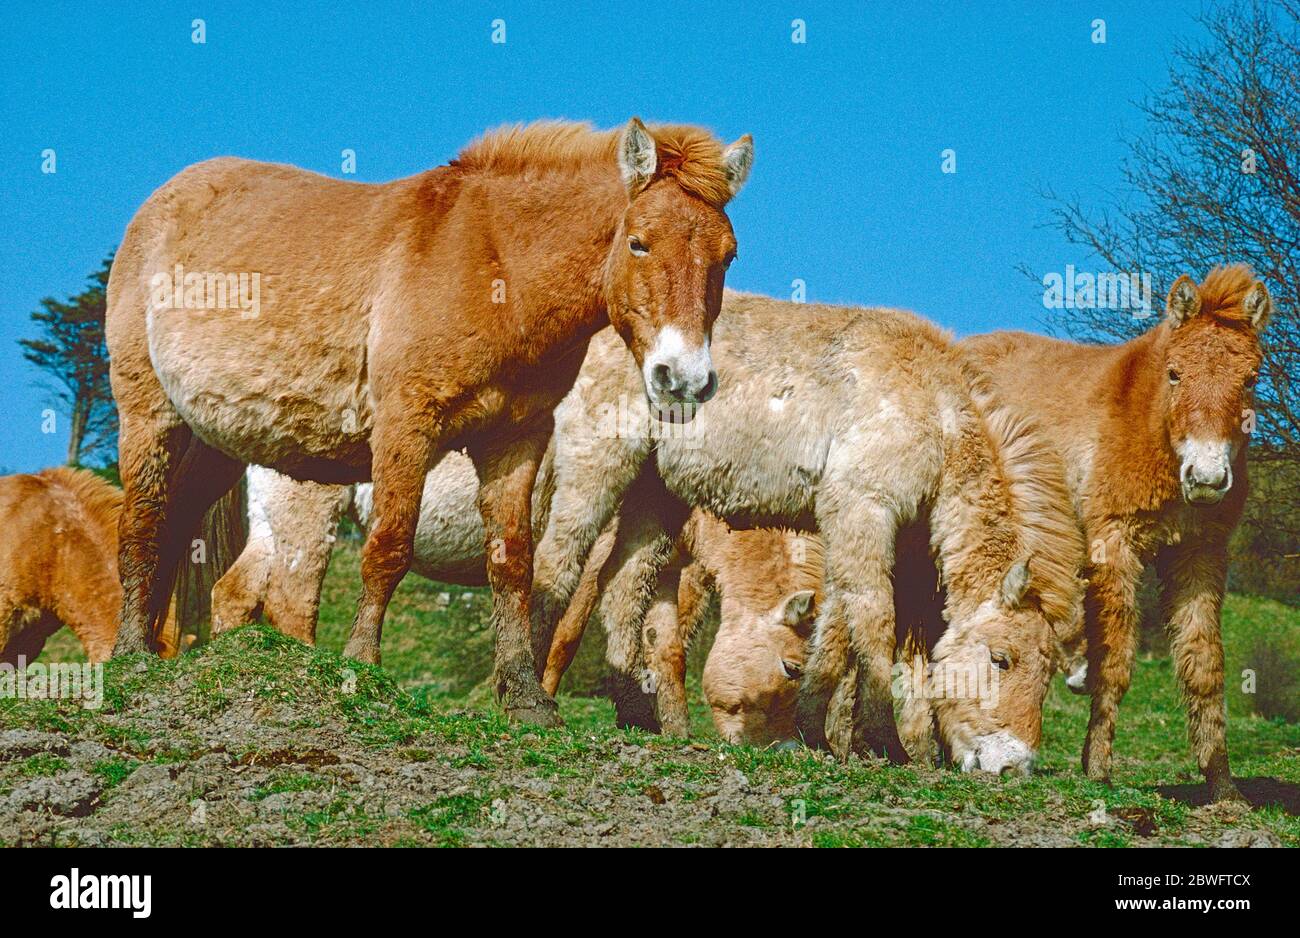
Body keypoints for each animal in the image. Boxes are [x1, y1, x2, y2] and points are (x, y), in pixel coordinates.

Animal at [106, 118, 759, 722]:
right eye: (640, 244)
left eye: (727, 256)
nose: (685, 378)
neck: (497, 261)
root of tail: (160, 203)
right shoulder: (406, 426)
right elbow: (388, 548)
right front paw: (361, 667)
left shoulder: (517, 439)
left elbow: (513, 562)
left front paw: (523, 697)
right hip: (148, 412)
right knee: (143, 522)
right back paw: (129, 653)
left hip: (215, 442)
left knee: (177, 524)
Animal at [527, 292, 1086, 769]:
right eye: (1001, 659)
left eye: (1047, 677)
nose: (1013, 767)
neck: (933, 406)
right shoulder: (863, 511)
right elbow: (874, 620)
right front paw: (885, 743)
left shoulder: (845, 527)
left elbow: (836, 631)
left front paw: (815, 735)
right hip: (598, 466)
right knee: (556, 560)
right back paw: (527, 696)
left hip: (655, 494)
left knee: (624, 589)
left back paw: (637, 718)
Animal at [967, 262, 1268, 795]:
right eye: (1175, 374)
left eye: (1250, 379)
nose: (1207, 477)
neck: (1149, 424)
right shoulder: (1114, 546)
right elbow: (1116, 661)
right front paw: (1097, 769)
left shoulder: (1200, 553)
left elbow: (1204, 664)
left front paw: (1221, 785)